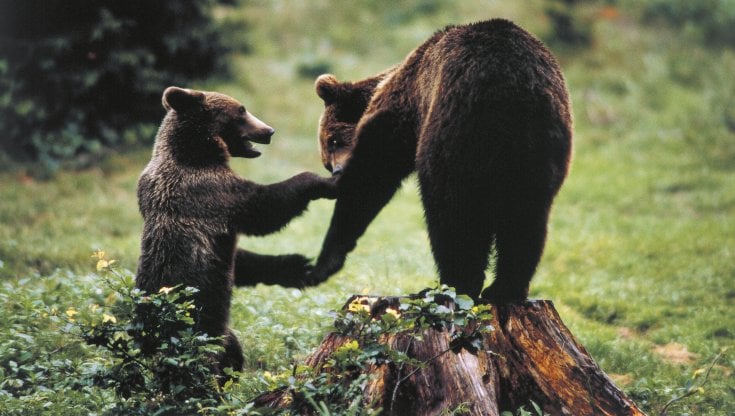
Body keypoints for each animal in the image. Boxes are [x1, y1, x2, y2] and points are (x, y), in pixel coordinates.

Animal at [136, 86, 336, 372]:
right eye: (241, 110)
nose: (269, 130)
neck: (197, 152)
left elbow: (240, 260)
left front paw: (296, 265)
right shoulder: (208, 192)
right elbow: (264, 206)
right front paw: (323, 181)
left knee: (232, 350)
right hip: (198, 329)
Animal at [308, 18, 572, 302]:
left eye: (333, 141)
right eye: (327, 156)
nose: (337, 171)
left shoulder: (404, 110)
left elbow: (374, 173)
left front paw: (326, 258)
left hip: (455, 134)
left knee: (450, 213)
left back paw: (453, 285)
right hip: (541, 148)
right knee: (526, 218)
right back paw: (504, 289)